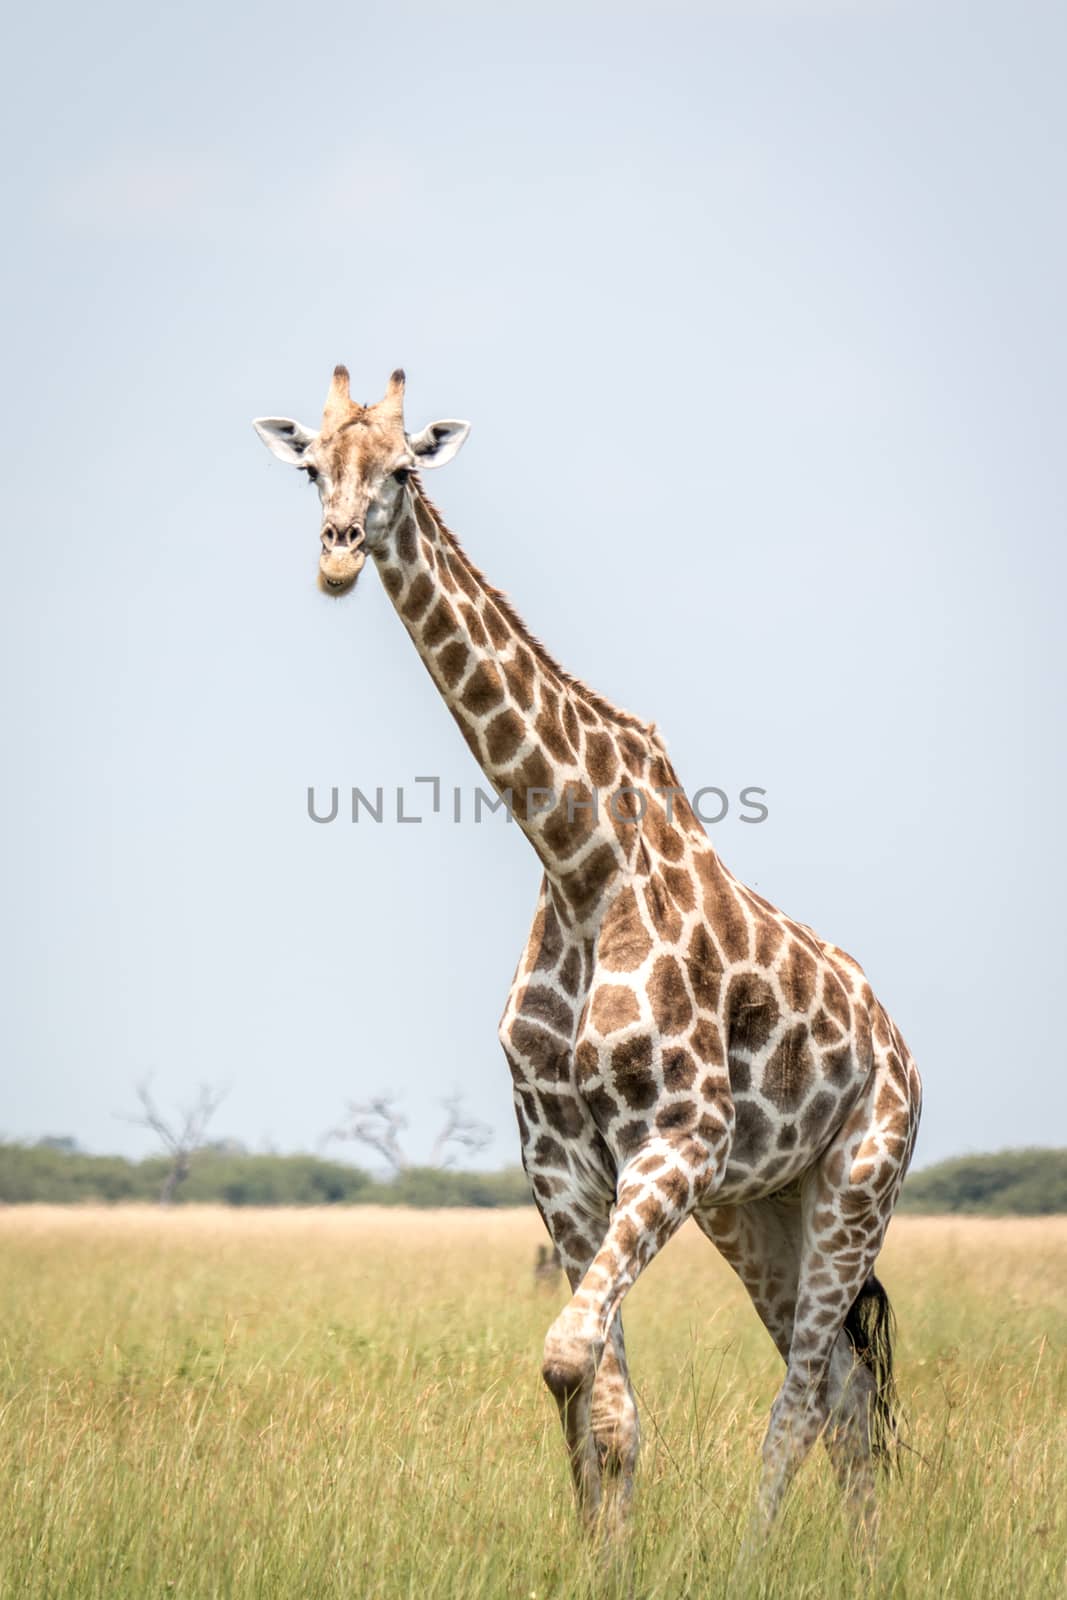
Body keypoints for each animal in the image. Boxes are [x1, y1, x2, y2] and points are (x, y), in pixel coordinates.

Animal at [254, 368, 921, 1542]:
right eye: (311, 467)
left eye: (404, 469)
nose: (335, 554)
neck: (578, 862)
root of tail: (903, 1052)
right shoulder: (560, 1156)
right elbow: (594, 1404)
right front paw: (596, 1556)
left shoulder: (679, 1137)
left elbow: (569, 1359)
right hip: (759, 1209)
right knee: (843, 1392)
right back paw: (865, 1559)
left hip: (856, 1183)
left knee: (803, 1393)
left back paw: (760, 1558)